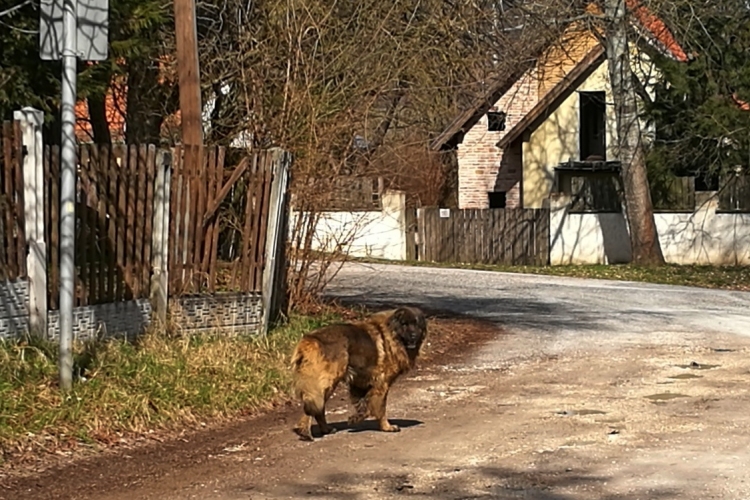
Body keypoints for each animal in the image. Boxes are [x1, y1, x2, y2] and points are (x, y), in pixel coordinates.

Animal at [290, 304, 428, 442]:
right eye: (405, 324)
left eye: (417, 325)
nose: (414, 335)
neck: (392, 335)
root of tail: (309, 340)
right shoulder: (382, 383)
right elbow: (380, 407)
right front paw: (387, 427)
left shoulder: (359, 382)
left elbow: (364, 405)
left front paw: (356, 418)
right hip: (327, 382)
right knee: (315, 408)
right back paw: (306, 432)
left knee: (317, 408)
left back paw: (322, 429)